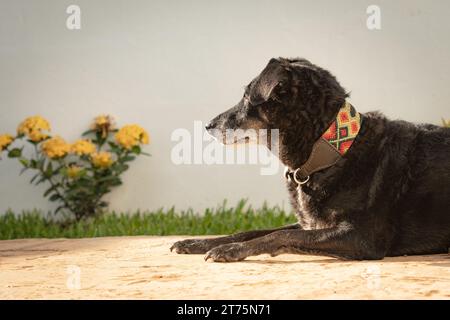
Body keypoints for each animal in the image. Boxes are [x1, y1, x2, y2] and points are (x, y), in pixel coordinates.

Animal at [170, 58, 450, 262]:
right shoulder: (310, 224)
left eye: (247, 97)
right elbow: (254, 230)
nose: (208, 125)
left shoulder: (361, 237)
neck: (333, 153)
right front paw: (197, 242)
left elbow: (279, 235)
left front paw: (232, 250)